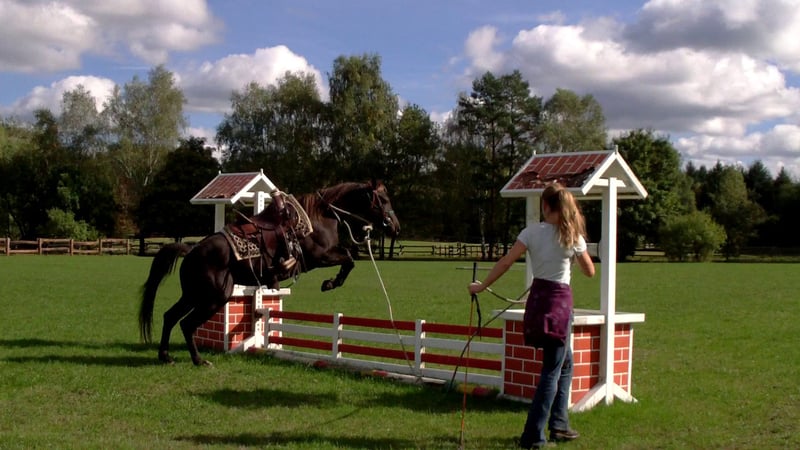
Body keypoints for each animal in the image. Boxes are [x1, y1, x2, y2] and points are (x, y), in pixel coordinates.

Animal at [138, 180, 400, 365]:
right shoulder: (320, 256)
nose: (396, 226)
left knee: (170, 316)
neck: (321, 215)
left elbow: (349, 257)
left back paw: (166, 356)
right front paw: (330, 283)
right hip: (213, 298)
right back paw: (199, 360)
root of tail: (191, 250)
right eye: (383, 199)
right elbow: (349, 258)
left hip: (194, 295)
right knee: (187, 323)